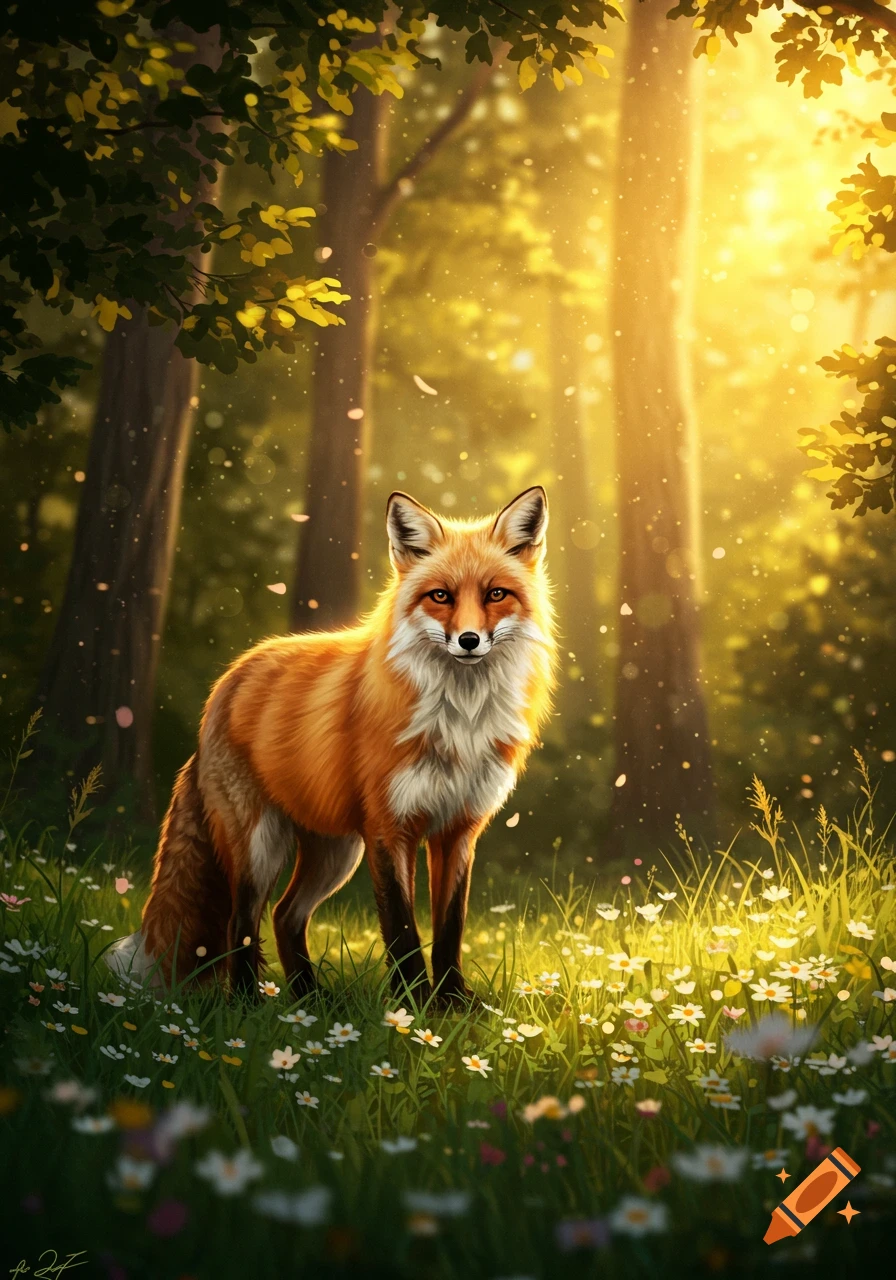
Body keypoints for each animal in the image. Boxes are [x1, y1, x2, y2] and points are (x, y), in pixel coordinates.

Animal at [108, 485, 557, 1004]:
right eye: (440, 596)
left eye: (495, 594)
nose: (468, 640)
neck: (459, 722)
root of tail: (227, 681)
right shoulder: (389, 829)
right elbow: (402, 930)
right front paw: (413, 1005)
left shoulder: (458, 830)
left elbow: (449, 928)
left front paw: (453, 1005)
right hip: (261, 845)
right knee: (242, 923)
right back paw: (247, 1002)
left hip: (335, 853)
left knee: (285, 915)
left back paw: (308, 998)